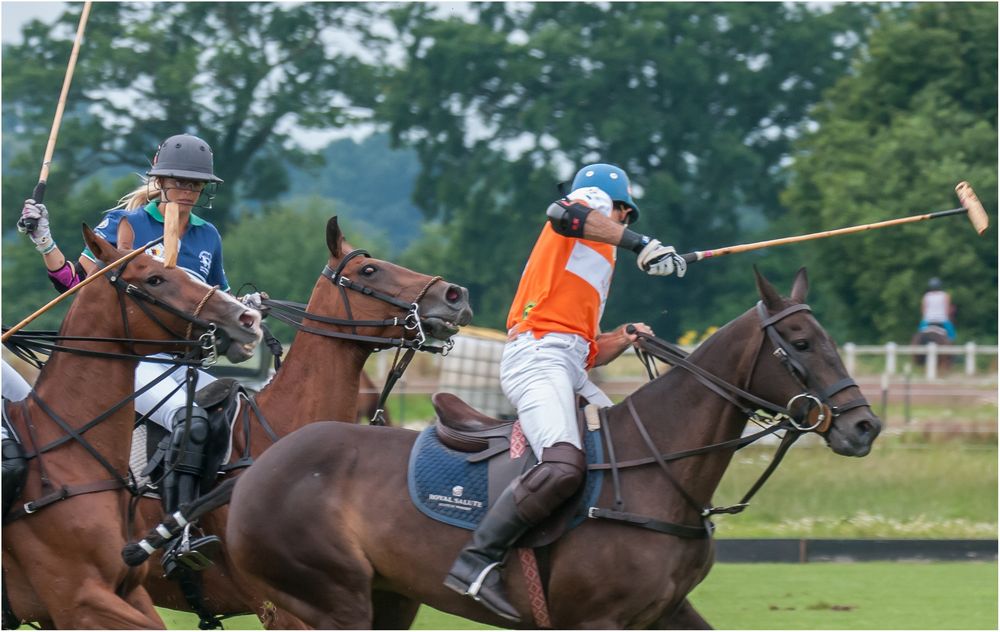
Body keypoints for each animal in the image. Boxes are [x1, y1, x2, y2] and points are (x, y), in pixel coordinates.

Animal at [223, 266, 880, 628]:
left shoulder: (665, 611)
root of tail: (255, 468)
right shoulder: (597, 618)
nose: (864, 427)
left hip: (382, 599)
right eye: (800, 341)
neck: (658, 471)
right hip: (327, 601)